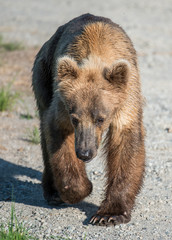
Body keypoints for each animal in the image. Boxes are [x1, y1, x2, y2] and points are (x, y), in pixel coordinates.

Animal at [31, 13, 144, 227]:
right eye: (75, 119)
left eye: (100, 118)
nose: (85, 152)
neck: (97, 52)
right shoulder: (62, 103)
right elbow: (58, 138)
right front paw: (80, 188)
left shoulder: (126, 97)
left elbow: (126, 144)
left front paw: (109, 214)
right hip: (44, 73)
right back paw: (53, 192)